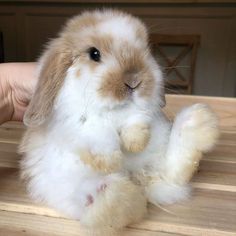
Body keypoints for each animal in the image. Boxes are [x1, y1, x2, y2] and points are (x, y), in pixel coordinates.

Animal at [19, 8, 220, 236]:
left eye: (145, 48)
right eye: (94, 54)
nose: (134, 80)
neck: (114, 113)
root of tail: (141, 180)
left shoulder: (140, 114)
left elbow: (136, 119)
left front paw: (135, 143)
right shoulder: (76, 122)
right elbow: (95, 129)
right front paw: (110, 161)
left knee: (174, 171)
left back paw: (196, 123)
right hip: (62, 185)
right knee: (112, 201)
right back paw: (116, 192)